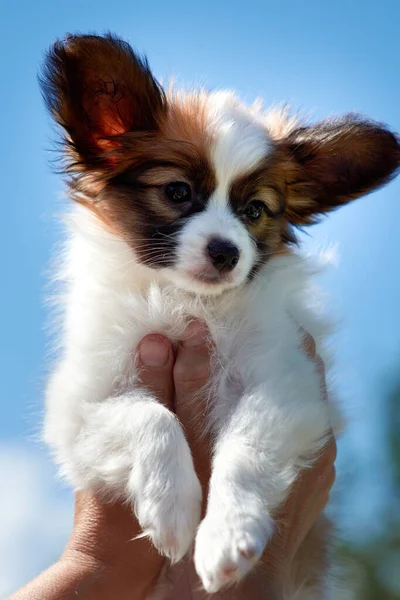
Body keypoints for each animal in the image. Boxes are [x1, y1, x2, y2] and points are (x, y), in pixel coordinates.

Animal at [39, 35, 400, 596]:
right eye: (177, 192)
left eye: (254, 211)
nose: (227, 252)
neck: (189, 302)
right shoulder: (82, 399)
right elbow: (151, 418)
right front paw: (171, 509)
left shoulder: (286, 382)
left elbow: (245, 448)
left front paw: (228, 536)